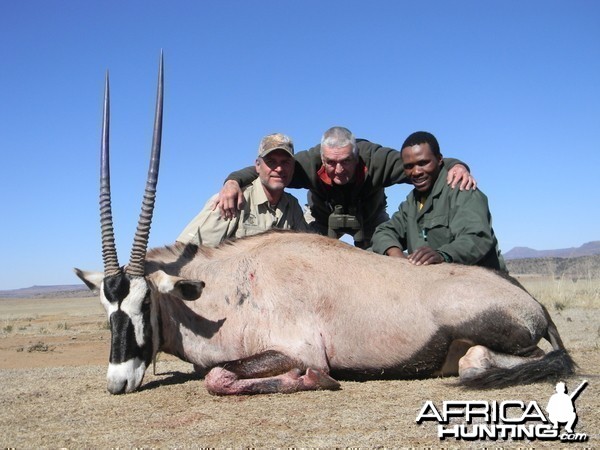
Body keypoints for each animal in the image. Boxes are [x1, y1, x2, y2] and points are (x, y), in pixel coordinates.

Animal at [75, 56, 576, 394]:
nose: (117, 381)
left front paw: (316, 378)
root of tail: (533, 303)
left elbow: (219, 376)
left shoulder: (295, 348)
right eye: (105, 308)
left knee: (485, 360)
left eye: (144, 304)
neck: (224, 288)